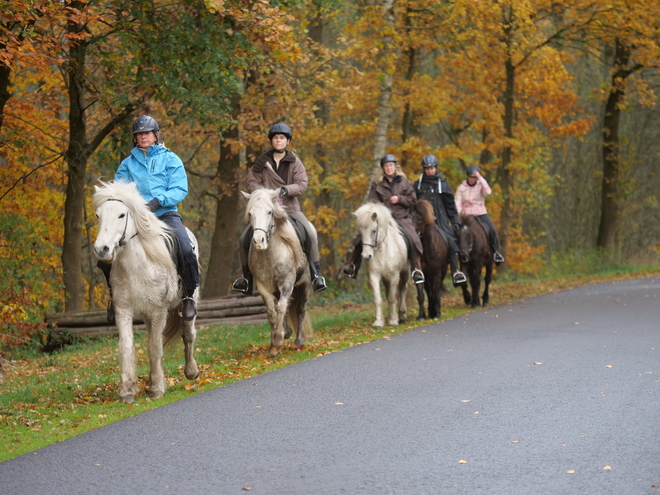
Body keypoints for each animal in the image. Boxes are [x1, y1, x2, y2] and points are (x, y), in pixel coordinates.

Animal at [92, 181, 199, 404]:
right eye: (98, 215)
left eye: (122, 215)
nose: (102, 249)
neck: (137, 267)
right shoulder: (123, 311)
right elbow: (126, 347)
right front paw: (127, 390)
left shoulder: (158, 311)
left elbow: (154, 347)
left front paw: (157, 388)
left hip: (188, 305)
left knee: (188, 334)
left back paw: (191, 372)